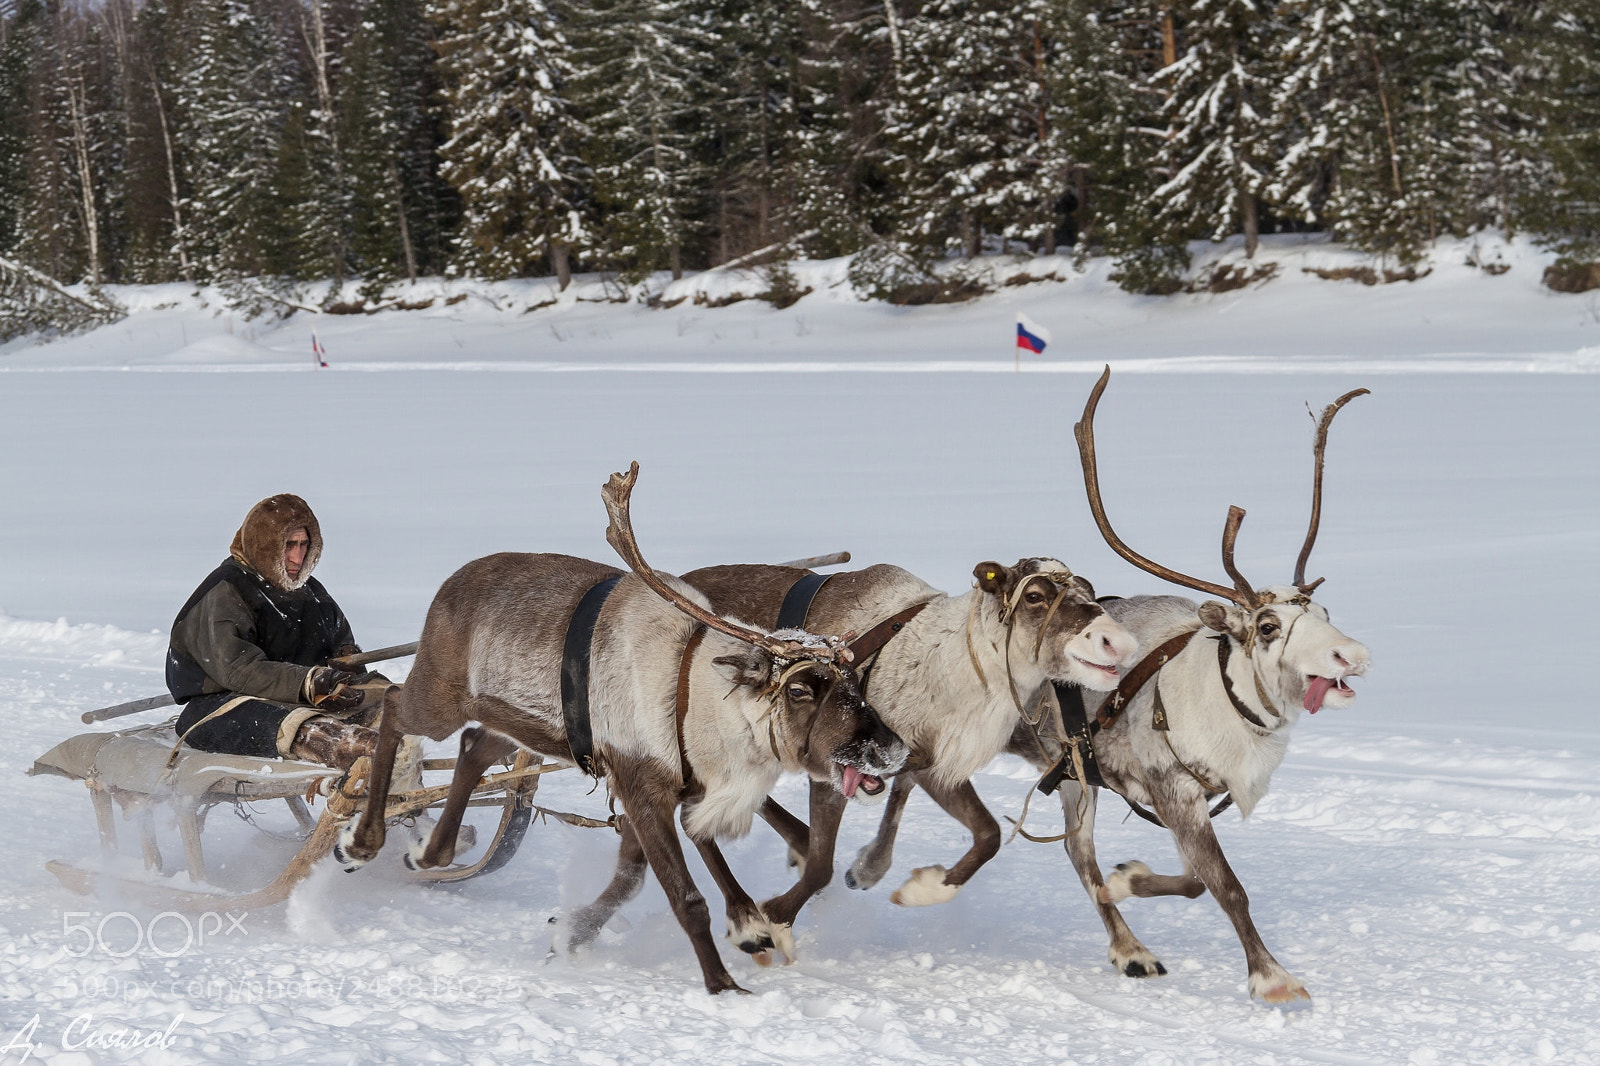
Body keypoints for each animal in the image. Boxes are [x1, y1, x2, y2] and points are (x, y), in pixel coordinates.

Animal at [335, 462, 908, 994]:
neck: (695, 699)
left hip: (522, 724)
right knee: (393, 706)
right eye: (800, 689)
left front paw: (747, 926)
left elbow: (666, 866)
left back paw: (429, 853)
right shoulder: (641, 783)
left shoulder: (678, 788)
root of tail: (450, 582)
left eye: (854, 679)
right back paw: (361, 842)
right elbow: (686, 896)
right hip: (440, 697)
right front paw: (723, 984)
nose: (894, 746)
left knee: (475, 744)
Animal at [684, 550, 1140, 940]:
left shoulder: (933, 766)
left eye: (1089, 590)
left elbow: (989, 835)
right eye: (1034, 596)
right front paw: (774, 920)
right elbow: (821, 867)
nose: (1120, 642)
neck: (952, 671)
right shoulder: (837, 770)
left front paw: (925, 888)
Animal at [843, 368, 1372, 1005]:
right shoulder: (1172, 789)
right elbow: (1227, 887)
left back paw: (1127, 947)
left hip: (1071, 774)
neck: (1224, 701)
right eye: (1267, 626)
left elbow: (1193, 881)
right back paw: (895, 875)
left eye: (1322, 611)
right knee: (924, 787)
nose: (1353, 654)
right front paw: (1273, 978)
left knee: (1072, 850)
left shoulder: (1180, 798)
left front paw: (1130, 878)